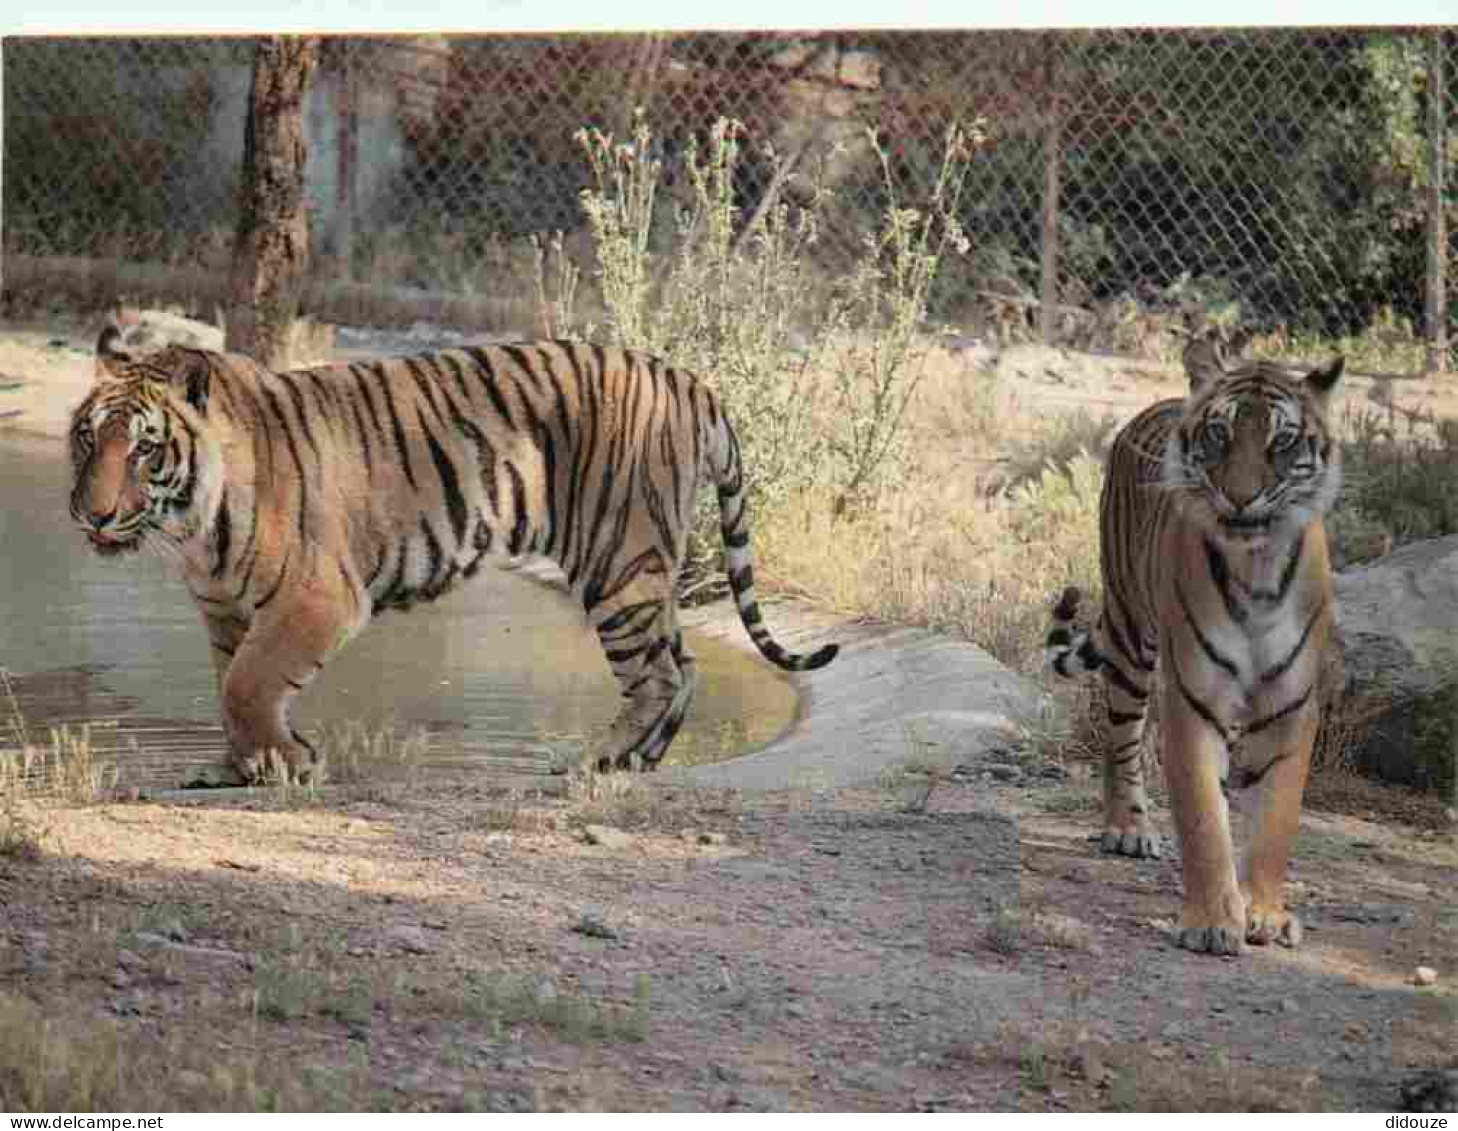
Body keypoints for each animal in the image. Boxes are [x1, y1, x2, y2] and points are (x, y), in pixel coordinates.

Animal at [71, 317, 845, 775]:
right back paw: (634, 764)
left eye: (144, 450)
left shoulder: (317, 597)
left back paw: (592, 762)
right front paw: (243, 768)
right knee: (681, 664)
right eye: (86, 439)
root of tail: (688, 379)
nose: (92, 513)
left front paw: (288, 762)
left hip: (618, 560)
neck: (192, 526)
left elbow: (248, 684)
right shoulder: (227, 611)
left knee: (656, 674)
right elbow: (232, 686)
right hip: (647, 567)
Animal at [1049, 343, 1341, 956]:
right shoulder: (1191, 697)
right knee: (1120, 738)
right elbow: (1204, 816)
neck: (1256, 568)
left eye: (1281, 440)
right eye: (1220, 434)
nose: (1241, 496)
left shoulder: (1291, 705)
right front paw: (1210, 921)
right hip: (1132, 637)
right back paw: (1127, 829)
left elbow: (1276, 818)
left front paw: (1265, 914)